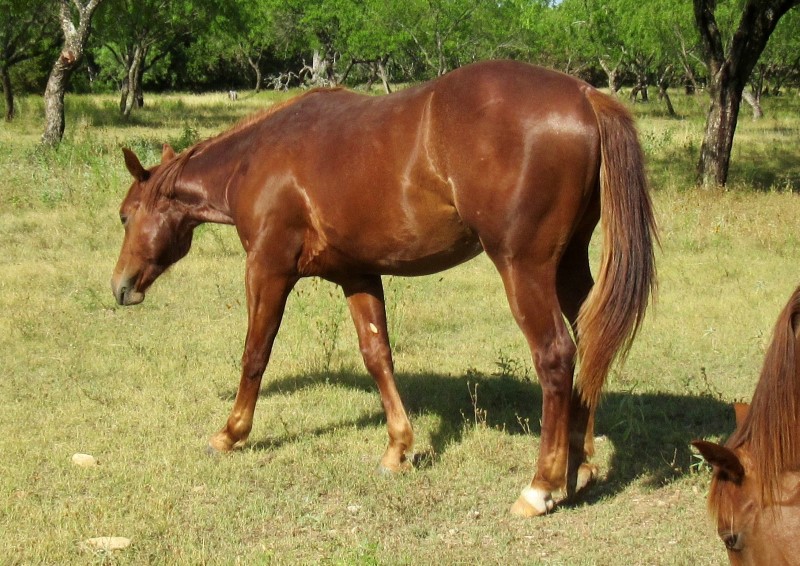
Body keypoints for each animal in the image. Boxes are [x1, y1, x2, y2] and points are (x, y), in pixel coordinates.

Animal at [109, 60, 656, 516]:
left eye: (125, 215)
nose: (120, 287)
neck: (256, 160)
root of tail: (585, 95)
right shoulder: (358, 275)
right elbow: (377, 356)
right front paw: (398, 448)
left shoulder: (267, 268)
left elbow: (255, 353)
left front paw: (230, 433)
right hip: (568, 266)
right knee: (589, 343)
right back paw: (578, 468)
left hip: (524, 269)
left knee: (556, 355)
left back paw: (540, 486)